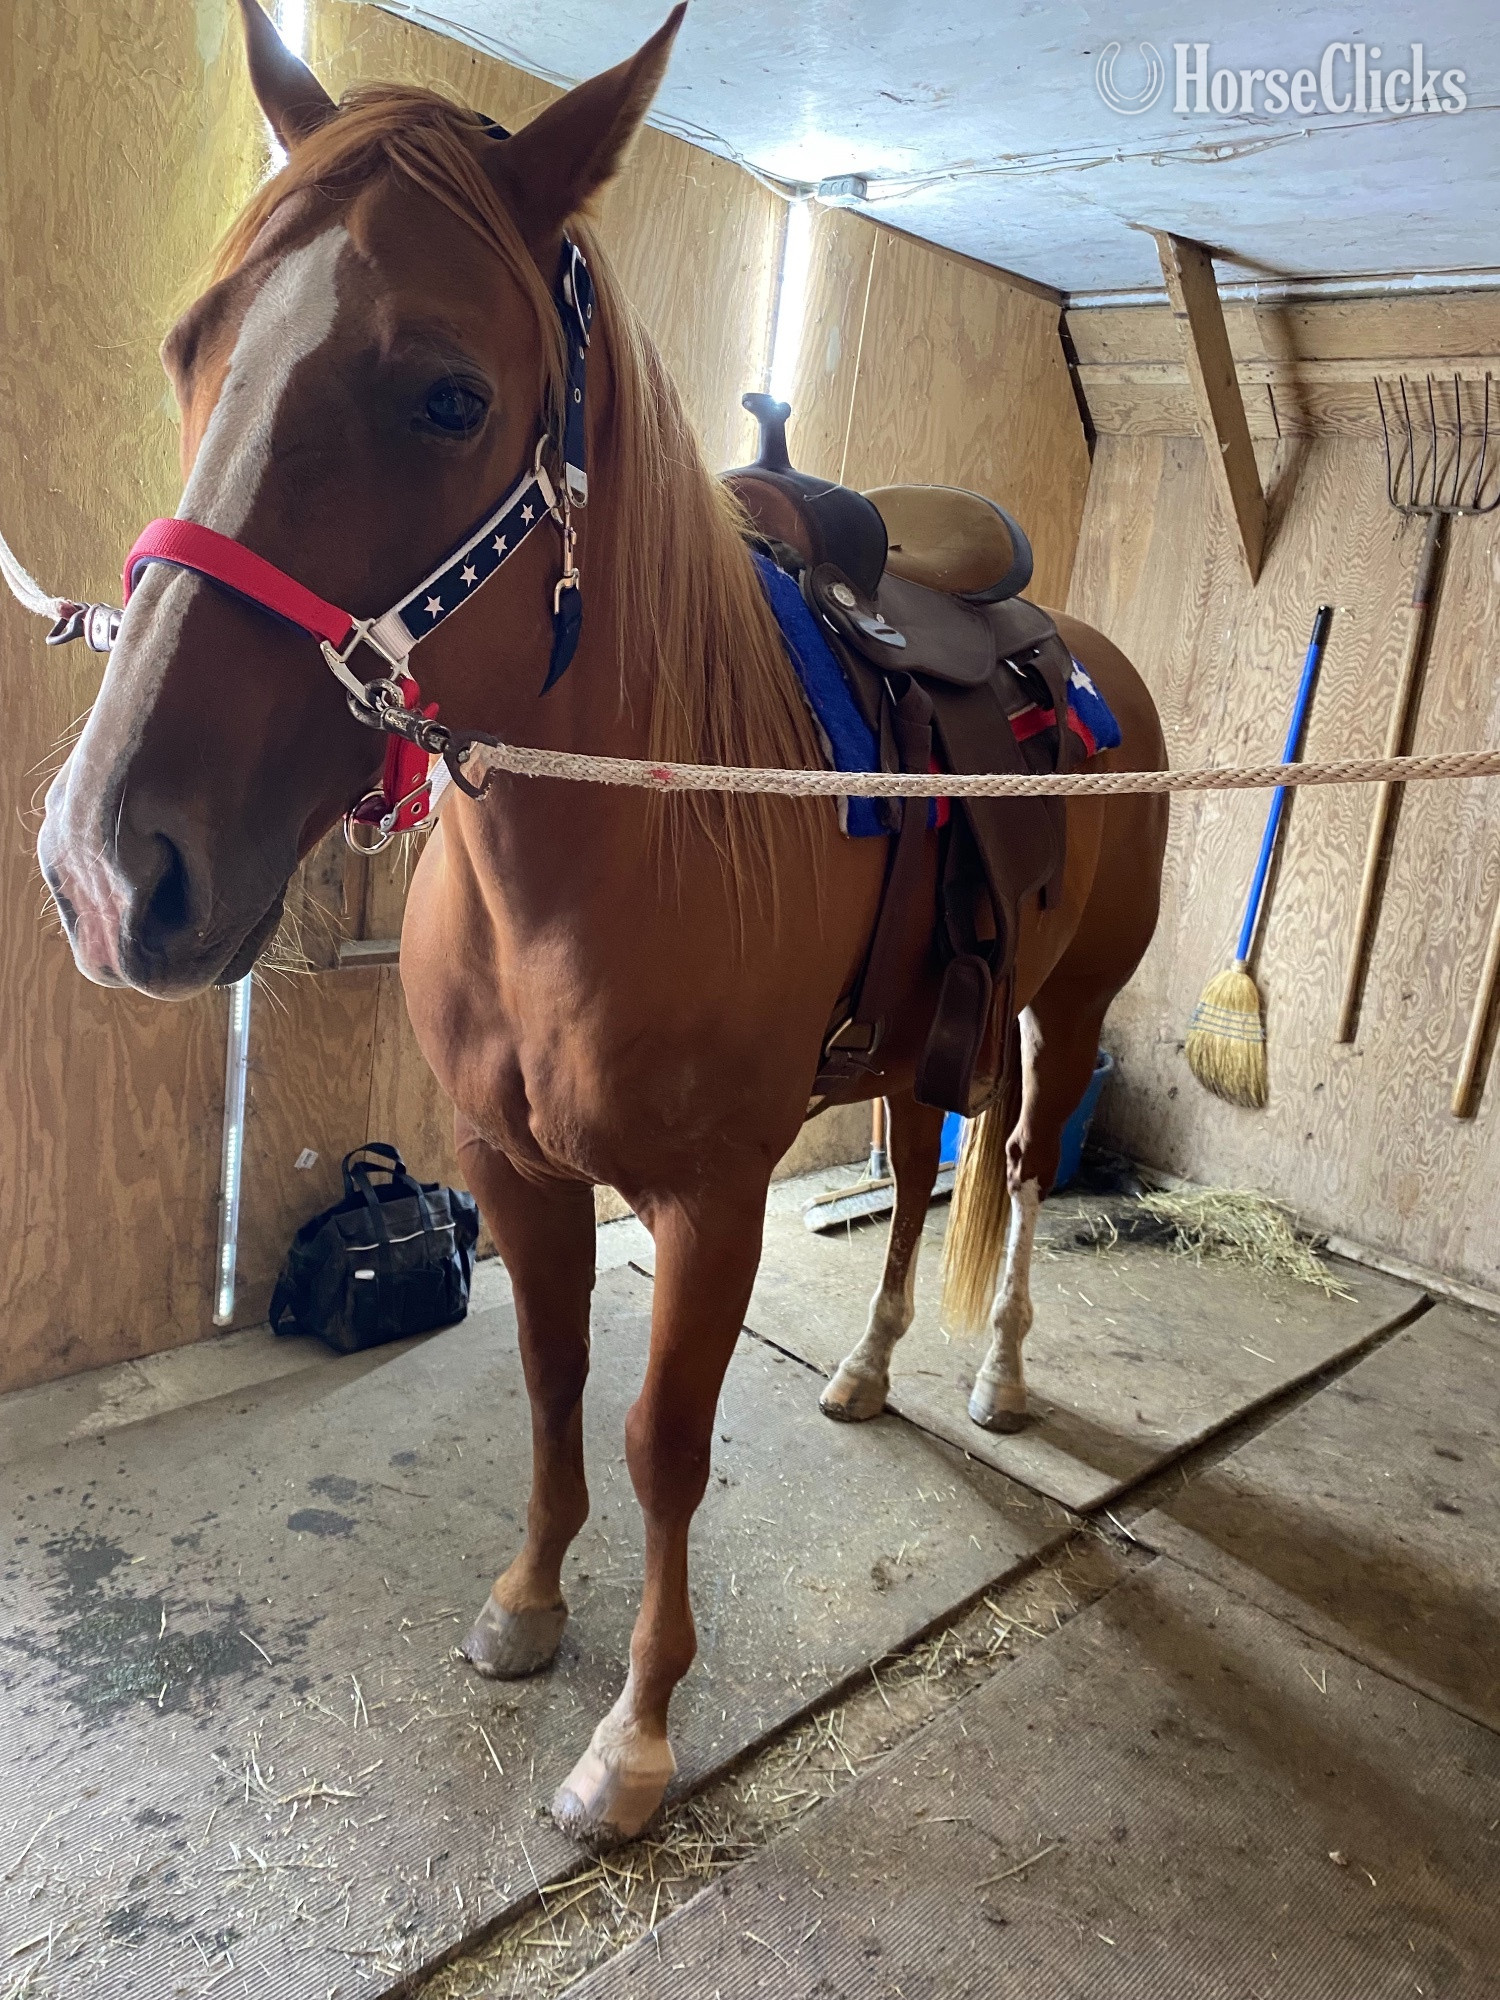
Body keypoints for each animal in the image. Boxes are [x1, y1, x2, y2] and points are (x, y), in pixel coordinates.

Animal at [36, 0, 1168, 1845]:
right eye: (189, 345)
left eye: (449, 394)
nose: (104, 867)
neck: (615, 837)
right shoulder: (513, 1171)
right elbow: (556, 1387)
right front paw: (525, 1610)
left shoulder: (712, 1200)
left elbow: (660, 1442)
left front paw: (632, 1736)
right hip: (922, 1039)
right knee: (922, 1179)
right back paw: (869, 1371)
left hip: (1062, 1014)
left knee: (1013, 1166)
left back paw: (995, 1377)